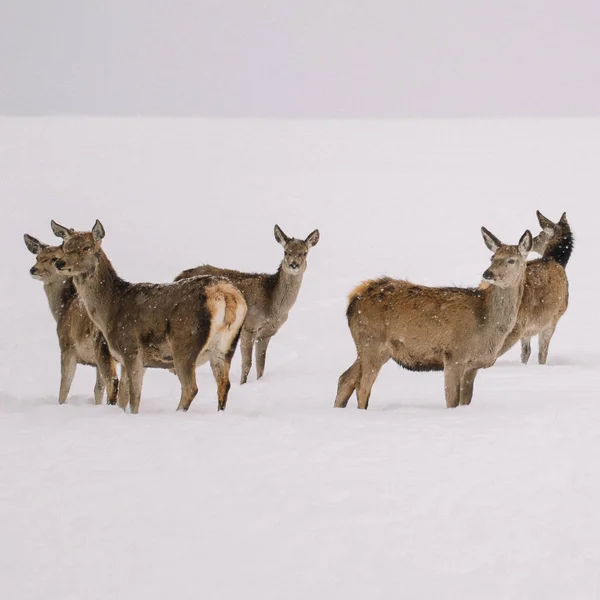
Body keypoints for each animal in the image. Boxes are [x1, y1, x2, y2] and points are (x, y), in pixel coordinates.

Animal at [23, 233, 118, 404]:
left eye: (55, 258)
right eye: (37, 257)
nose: (33, 269)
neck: (63, 309)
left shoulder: (67, 345)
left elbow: (65, 384)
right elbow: (97, 389)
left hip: (101, 345)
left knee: (112, 380)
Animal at [49, 219, 246, 412]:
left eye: (86, 247)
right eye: (65, 245)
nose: (60, 263)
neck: (110, 310)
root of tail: (226, 294)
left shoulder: (131, 348)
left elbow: (134, 397)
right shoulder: (127, 358)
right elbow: (123, 397)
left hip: (185, 341)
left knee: (190, 387)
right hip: (225, 346)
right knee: (224, 384)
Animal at [173, 225, 318, 384]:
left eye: (304, 253)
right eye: (286, 251)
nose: (294, 264)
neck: (273, 306)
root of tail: (177, 278)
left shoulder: (267, 333)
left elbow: (261, 365)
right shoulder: (249, 326)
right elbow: (247, 364)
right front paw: (243, 384)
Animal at [336, 227, 532, 410]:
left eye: (511, 260)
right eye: (492, 258)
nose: (488, 273)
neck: (485, 323)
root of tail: (353, 300)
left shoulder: (473, 365)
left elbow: (465, 401)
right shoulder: (454, 354)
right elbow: (451, 401)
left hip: (371, 348)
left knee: (345, 378)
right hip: (372, 342)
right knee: (363, 386)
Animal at [494, 211, 576, 366]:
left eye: (540, 234)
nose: (533, 241)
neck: (556, 260)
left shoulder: (530, 328)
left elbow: (526, 352)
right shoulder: (552, 319)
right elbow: (542, 353)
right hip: (517, 322)